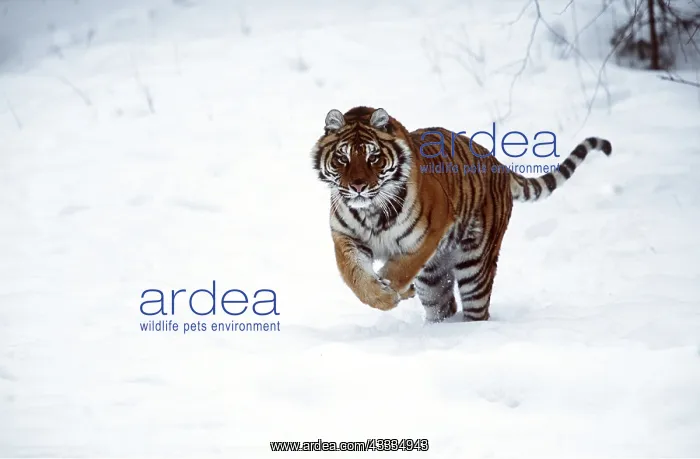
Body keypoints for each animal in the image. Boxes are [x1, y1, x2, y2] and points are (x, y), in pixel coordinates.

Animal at [311, 106, 612, 322]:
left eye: (373, 157)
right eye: (342, 158)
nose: (358, 186)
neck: (372, 210)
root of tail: (499, 164)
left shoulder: (430, 232)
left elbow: (401, 268)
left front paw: (391, 288)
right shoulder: (346, 237)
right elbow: (354, 276)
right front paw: (382, 295)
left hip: (475, 266)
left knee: (477, 308)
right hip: (433, 278)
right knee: (443, 305)